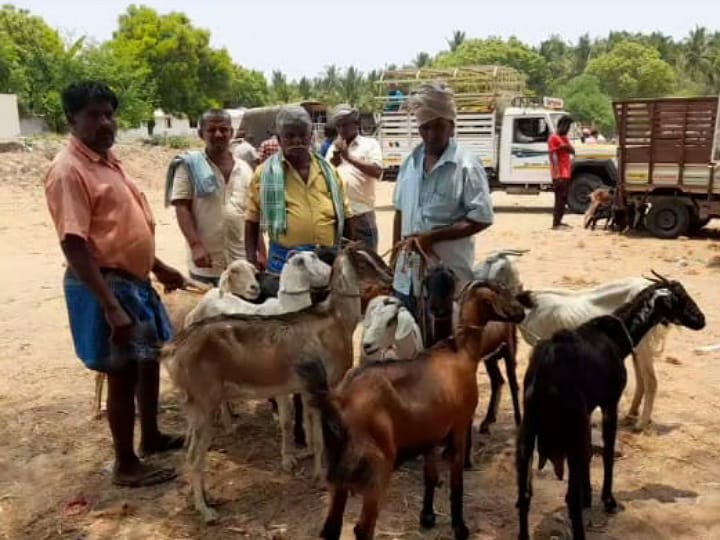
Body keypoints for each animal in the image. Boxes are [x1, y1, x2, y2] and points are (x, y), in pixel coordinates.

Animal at [296, 280, 524, 540]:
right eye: (502, 292)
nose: (521, 312)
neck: (461, 352)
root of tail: (337, 400)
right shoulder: (459, 425)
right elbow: (457, 482)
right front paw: (460, 527)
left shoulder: (432, 434)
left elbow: (430, 476)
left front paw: (427, 517)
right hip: (377, 470)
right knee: (363, 528)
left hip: (338, 474)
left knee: (330, 528)